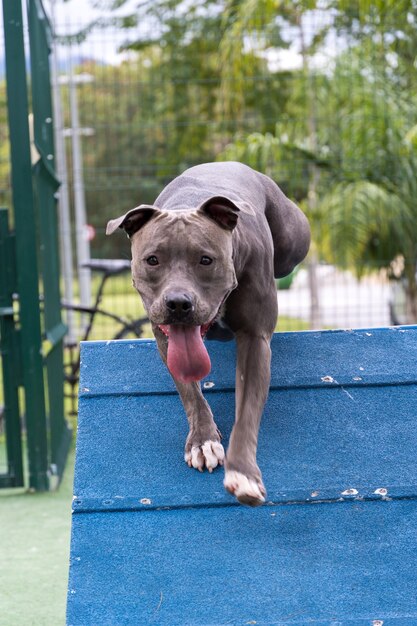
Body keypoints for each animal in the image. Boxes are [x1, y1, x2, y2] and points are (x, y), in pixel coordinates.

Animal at [107, 162, 308, 508]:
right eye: (152, 259)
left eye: (205, 259)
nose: (178, 303)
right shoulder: (166, 339)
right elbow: (191, 394)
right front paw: (203, 442)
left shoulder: (255, 339)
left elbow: (247, 411)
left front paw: (243, 473)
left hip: (293, 242)